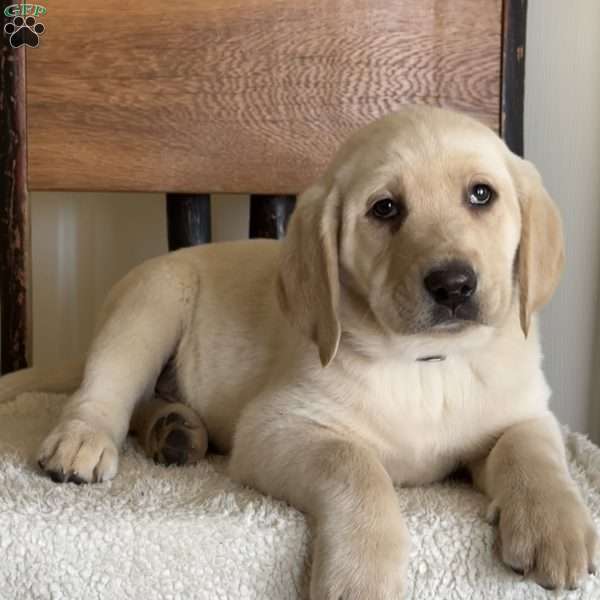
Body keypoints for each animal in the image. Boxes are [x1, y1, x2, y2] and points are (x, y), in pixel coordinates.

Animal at [36, 106, 596, 596]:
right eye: (385, 208)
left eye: (482, 195)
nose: (454, 285)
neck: (426, 363)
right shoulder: (276, 426)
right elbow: (355, 465)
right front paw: (363, 579)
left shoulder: (524, 411)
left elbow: (533, 452)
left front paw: (556, 528)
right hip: (149, 304)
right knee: (106, 389)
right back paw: (83, 442)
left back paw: (175, 430)